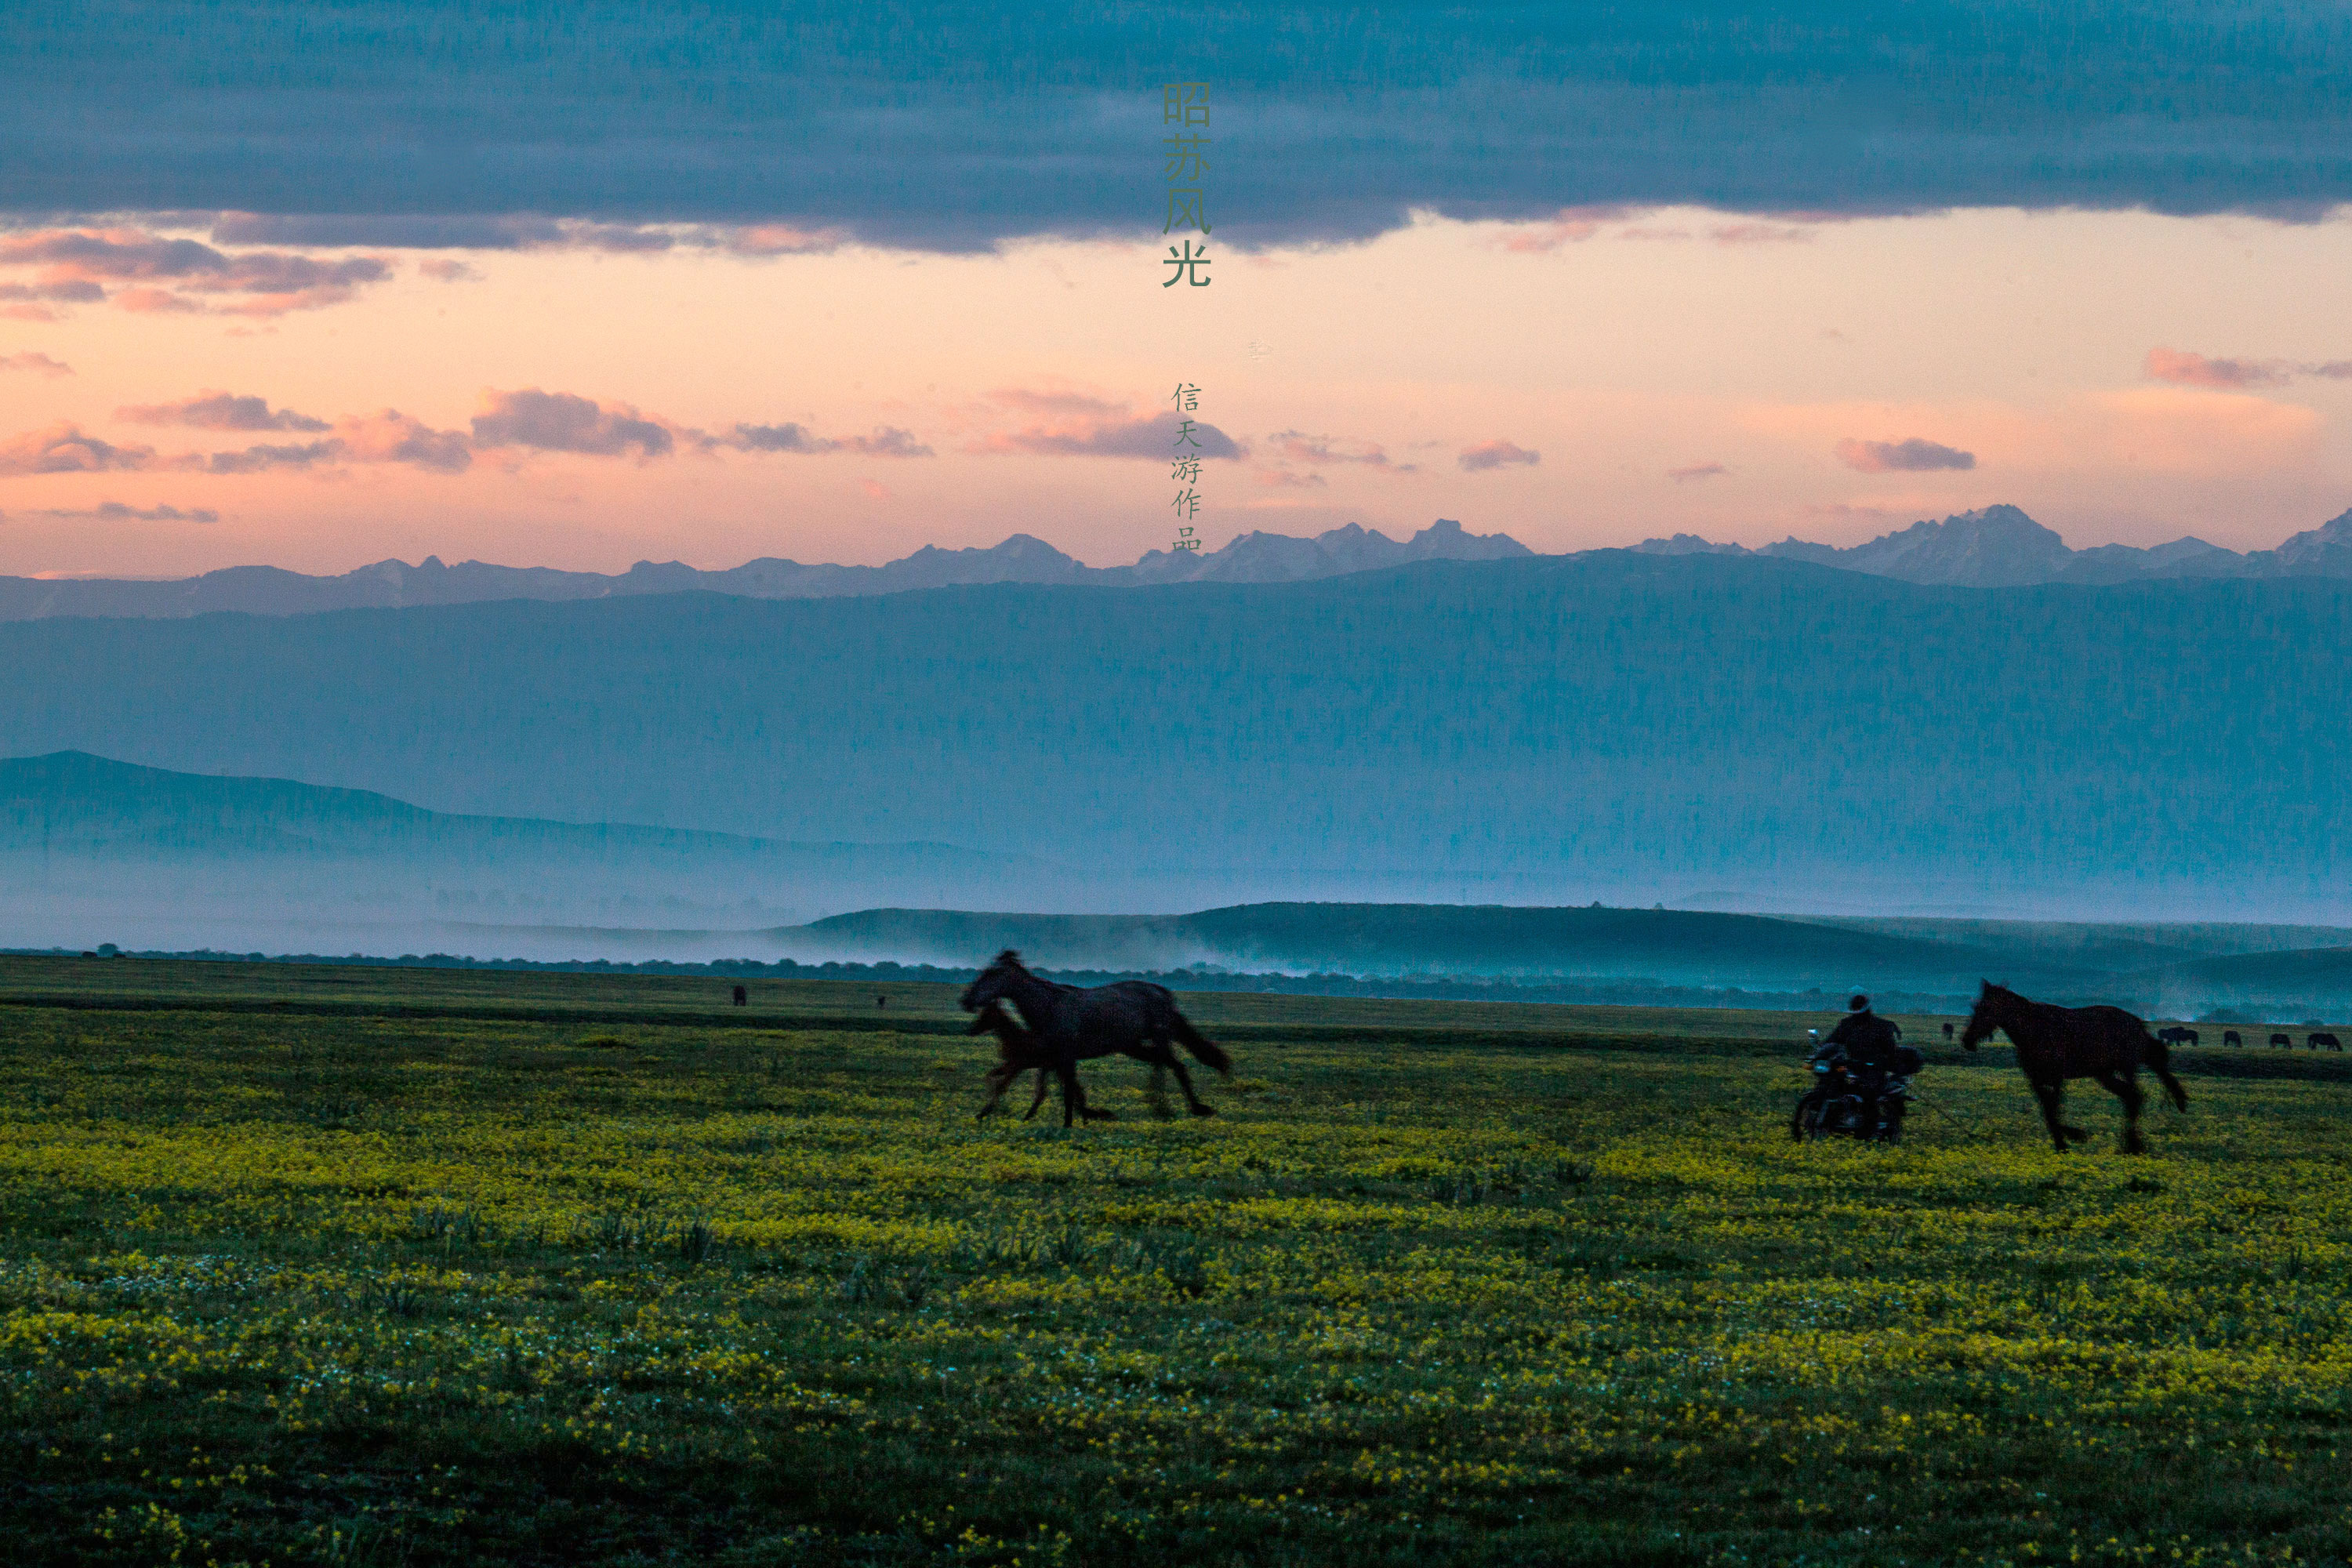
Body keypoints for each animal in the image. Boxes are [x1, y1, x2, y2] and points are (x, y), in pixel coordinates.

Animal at [964, 949, 1242, 1123]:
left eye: (991, 974)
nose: (966, 1000)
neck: (1050, 1007)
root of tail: (1164, 994)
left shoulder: (1065, 1056)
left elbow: (1068, 1091)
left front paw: (1073, 1121)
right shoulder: (1054, 1058)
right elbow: (1065, 1089)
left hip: (1159, 1037)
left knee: (1169, 1066)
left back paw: (1171, 1107)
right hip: (1133, 1046)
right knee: (1170, 1065)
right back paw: (1178, 1107)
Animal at [1957, 982, 2192, 1152]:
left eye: (1987, 1008)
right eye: (1976, 1007)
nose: (1967, 1041)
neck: (2035, 1031)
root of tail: (2136, 1024)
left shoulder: (2056, 1078)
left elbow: (2054, 1109)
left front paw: (2071, 1138)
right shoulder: (2036, 1079)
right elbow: (2048, 1111)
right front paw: (2065, 1140)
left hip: (2126, 1067)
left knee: (2136, 1097)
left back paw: (2133, 1145)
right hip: (2105, 1074)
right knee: (2131, 1097)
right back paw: (2130, 1144)